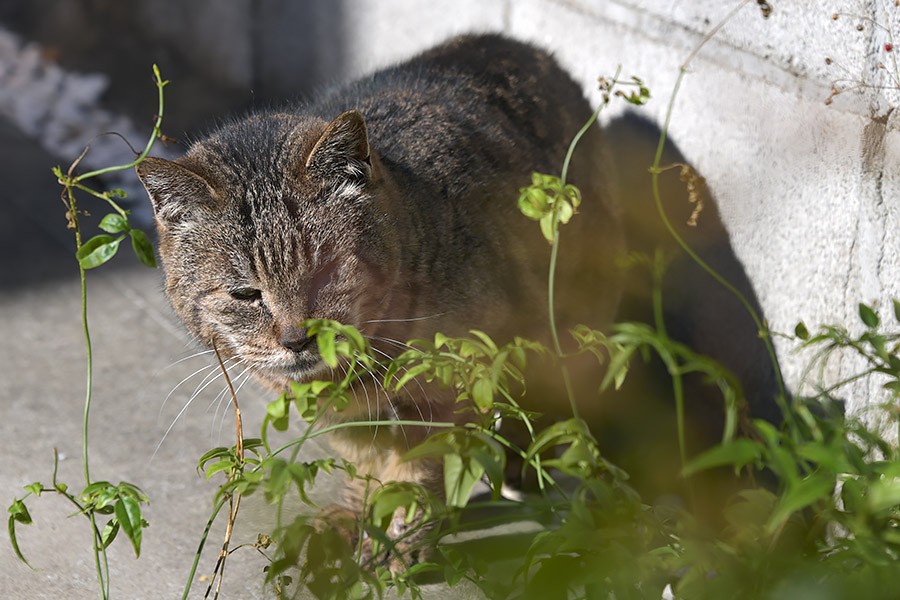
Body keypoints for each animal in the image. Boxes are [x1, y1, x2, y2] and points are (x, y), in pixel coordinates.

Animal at [135, 34, 624, 572]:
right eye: (245, 294)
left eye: (326, 273)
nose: (296, 338)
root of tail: (520, 45)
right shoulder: (342, 416)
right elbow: (366, 462)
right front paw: (357, 518)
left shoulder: (451, 382)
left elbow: (419, 467)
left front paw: (401, 534)